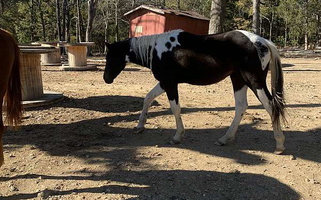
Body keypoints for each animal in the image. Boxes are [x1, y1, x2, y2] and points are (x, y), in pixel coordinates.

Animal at [103, 29, 284, 153]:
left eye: (111, 57)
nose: (106, 79)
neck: (157, 50)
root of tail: (263, 42)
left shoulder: (169, 84)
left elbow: (175, 108)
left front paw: (177, 136)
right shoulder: (164, 82)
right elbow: (148, 98)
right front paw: (140, 126)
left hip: (254, 81)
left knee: (271, 106)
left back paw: (279, 145)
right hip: (239, 80)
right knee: (241, 107)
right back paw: (224, 139)